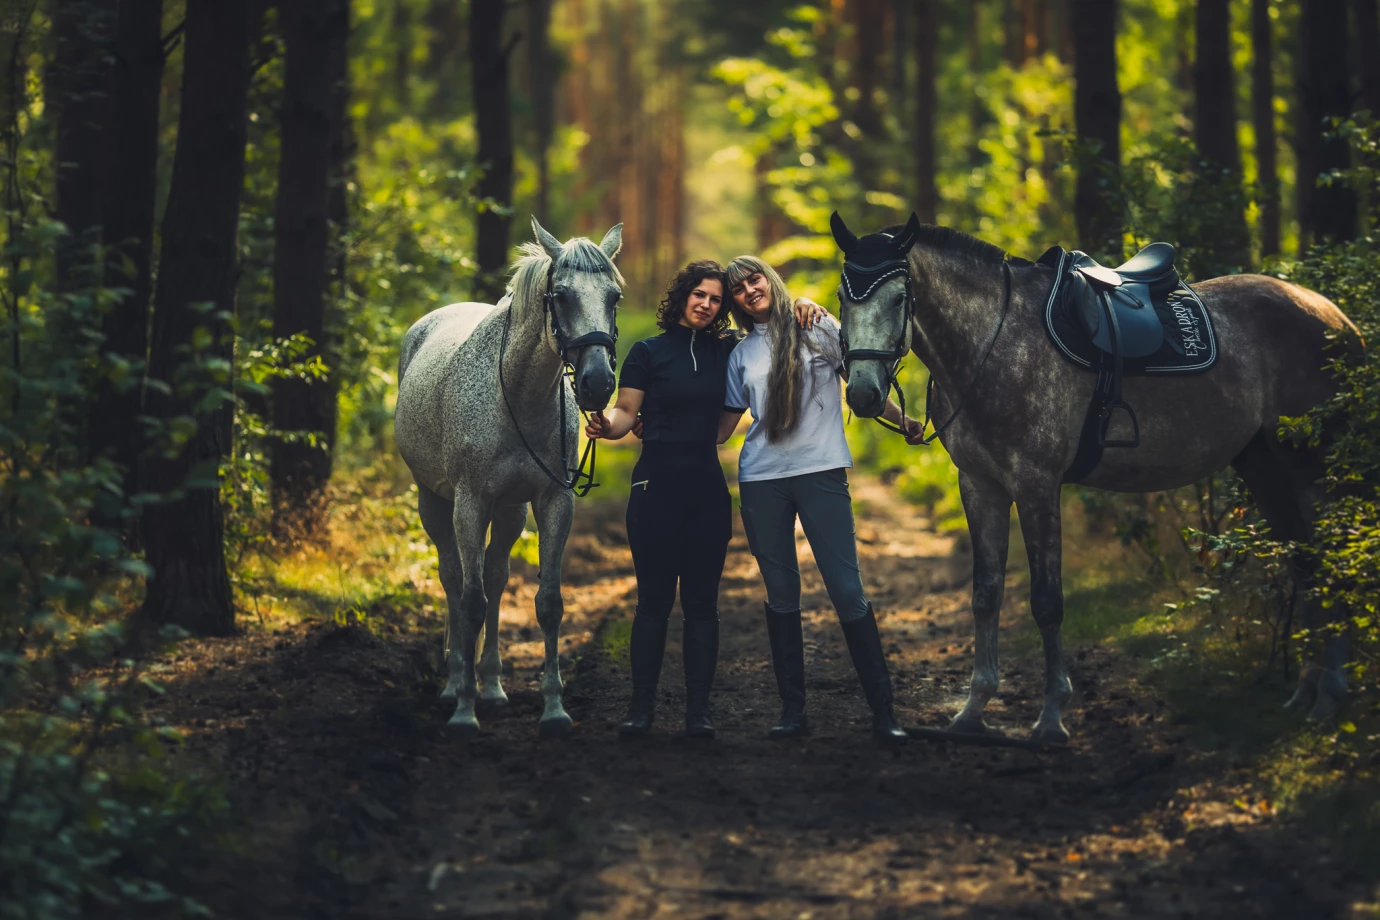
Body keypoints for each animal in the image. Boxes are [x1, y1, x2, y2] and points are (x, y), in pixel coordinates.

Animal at [394, 219, 621, 739]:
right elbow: (470, 599)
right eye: (561, 295)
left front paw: (554, 708)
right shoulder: (470, 502)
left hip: (511, 510)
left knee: (496, 577)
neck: (516, 395)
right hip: (433, 502)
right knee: (453, 579)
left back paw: (493, 687)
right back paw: (454, 683)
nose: (598, 383)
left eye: (615, 296)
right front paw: (463, 711)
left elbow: (548, 602)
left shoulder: (553, 501)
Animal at [828, 212, 1357, 744]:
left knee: (1330, 564)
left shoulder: (1037, 486)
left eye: (899, 297)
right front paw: (973, 711)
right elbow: (985, 595)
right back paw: (1306, 692)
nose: (864, 395)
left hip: (1311, 470)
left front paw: (1051, 718)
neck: (993, 343)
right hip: (1263, 465)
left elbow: (1046, 602)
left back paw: (1330, 694)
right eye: (842, 297)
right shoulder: (980, 486)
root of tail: (1333, 315)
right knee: (1306, 565)